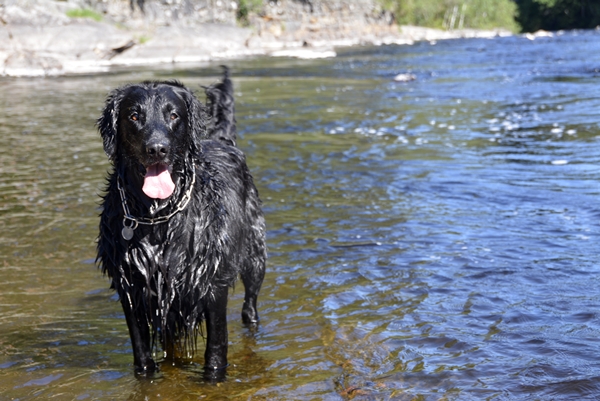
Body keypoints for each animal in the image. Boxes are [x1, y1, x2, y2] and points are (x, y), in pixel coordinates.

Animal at [95, 67, 264, 376]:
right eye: (134, 116)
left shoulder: (212, 283)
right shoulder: (129, 287)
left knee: (250, 306)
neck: (157, 217)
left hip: (255, 255)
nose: (157, 149)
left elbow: (216, 349)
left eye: (173, 115)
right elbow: (142, 354)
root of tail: (222, 141)